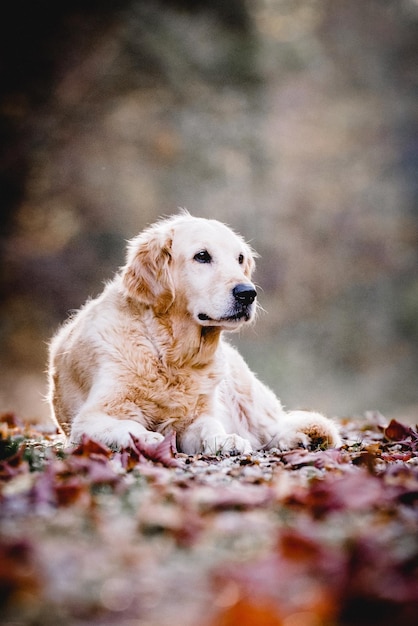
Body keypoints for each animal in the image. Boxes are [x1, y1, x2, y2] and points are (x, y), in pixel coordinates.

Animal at [48, 212, 340, 450]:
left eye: (240, 258)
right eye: (202, 256)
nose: (248, 293)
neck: (170, 355)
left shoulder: (195, 418)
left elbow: (210, 426)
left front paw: (225, 440)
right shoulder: (91, 418)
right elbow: (125, 426)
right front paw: (145, 437)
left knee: (278, 428)